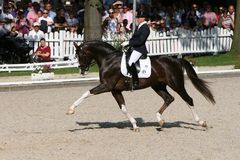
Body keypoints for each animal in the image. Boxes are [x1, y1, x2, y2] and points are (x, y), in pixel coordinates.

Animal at [66, 40, 216, 131]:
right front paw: (134, 125)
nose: (82, 70)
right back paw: (160, 121)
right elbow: (123, 108)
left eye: (80, 54)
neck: (108, 59)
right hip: (158, 86)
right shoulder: (115, 90)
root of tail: (176, 60)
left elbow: (87, 93)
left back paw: (201, 122)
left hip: (176, 84)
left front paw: (71, 109)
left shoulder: (106, 86)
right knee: (169, 99)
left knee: (188, 99)